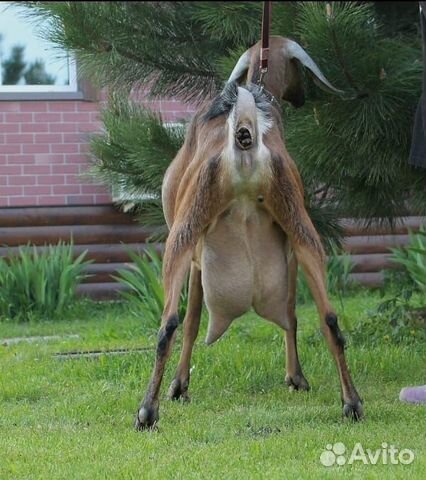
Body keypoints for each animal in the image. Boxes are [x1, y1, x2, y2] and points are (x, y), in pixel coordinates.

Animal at [135, 35, 362, 430]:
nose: (303, 97)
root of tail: (244, 134)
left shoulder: (196, 257)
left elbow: (192, 320)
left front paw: (180, 386)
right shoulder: (287, 248)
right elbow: (292, 313)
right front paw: (296, 377)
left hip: (181, 235)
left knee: (168, 324)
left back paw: (148, 410)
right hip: (301, 229)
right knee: (329, 318)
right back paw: (352, 403)